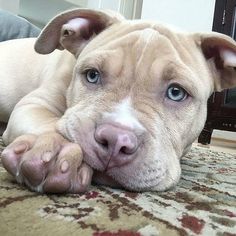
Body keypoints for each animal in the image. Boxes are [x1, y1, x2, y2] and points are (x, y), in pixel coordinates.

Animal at [0, 9, 236, 194]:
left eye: (176, 92)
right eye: (92, 75)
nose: (115, 140)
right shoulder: (35, 103)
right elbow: (49, 123)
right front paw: (55, 150)